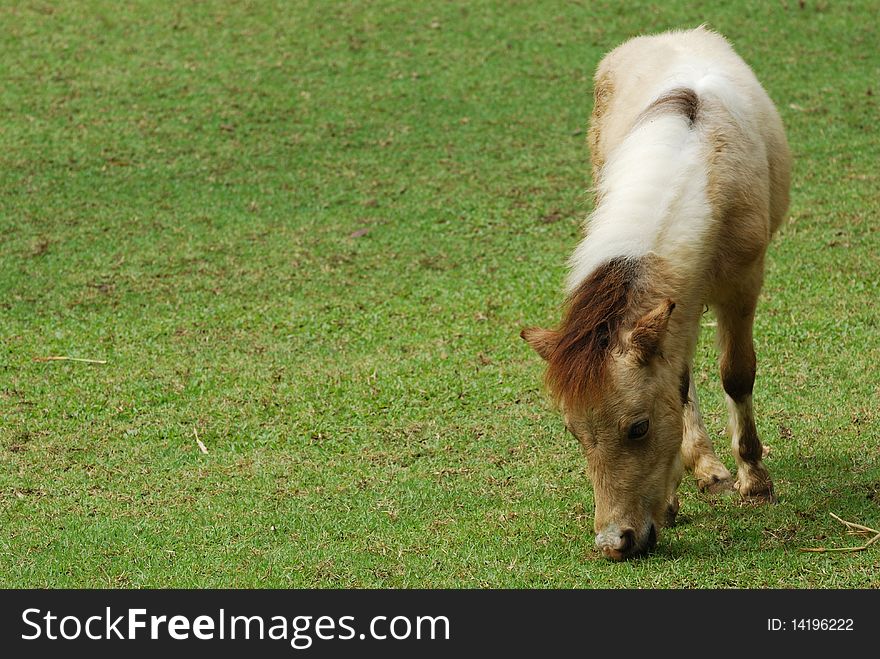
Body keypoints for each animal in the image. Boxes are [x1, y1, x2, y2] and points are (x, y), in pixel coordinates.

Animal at [524, 27, 792, 564]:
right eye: (573, 432)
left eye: (639, 428)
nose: (615, 543)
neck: (698, 165)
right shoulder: (675, 306)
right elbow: (679, 386)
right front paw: (672, 500)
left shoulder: (743, 284)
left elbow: (737, 375)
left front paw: (755, 482)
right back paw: (704, 468)